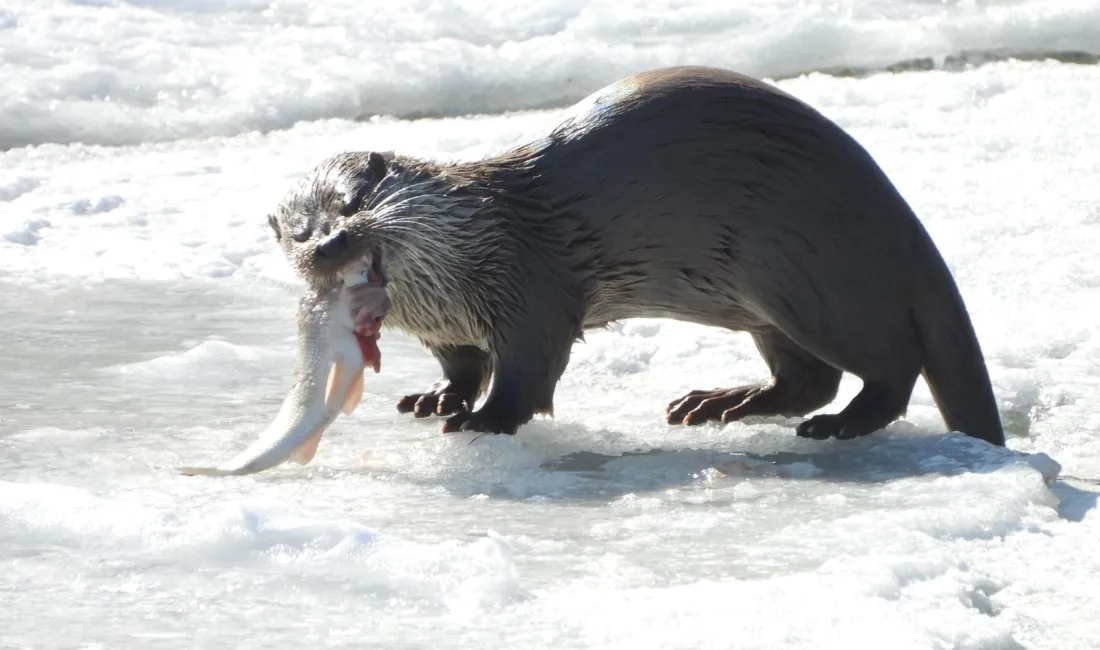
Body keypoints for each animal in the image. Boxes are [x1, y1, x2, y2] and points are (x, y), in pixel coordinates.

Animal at [266, 68, 1007, 450]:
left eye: (353, 202)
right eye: (298, 232)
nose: (330, 245)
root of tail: (901, 223)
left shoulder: (530, 287)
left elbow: (528, 370)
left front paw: (484, 419)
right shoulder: (448, 327)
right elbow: (464, 365)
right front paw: (435, 397)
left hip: (814, 279)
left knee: (890, 365)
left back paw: (836, 426)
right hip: (770, 301)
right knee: (809, 377)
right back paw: (720, 404)